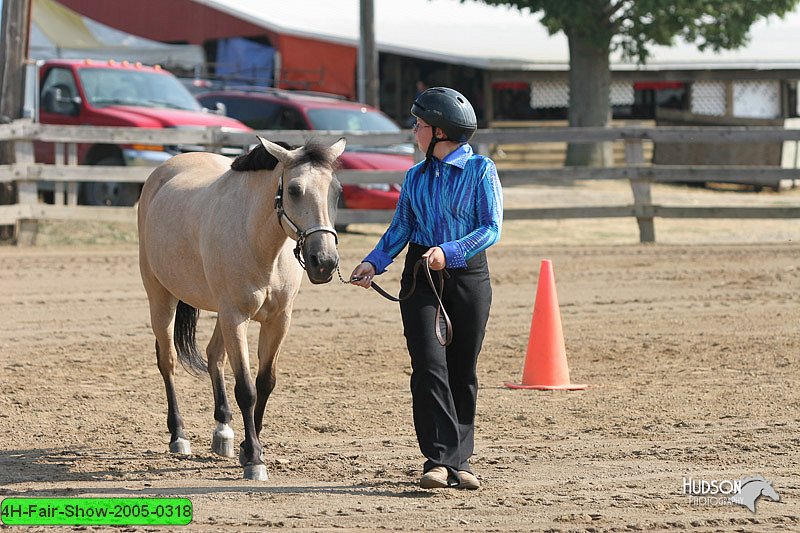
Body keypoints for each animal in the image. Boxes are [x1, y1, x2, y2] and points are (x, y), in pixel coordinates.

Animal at [137, 135, 346, 480]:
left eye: (337, 191)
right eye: (294, 190)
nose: (324, 262)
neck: (260, 243)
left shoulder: (278, 320)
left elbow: (265, 382)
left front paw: (250, 446)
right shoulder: (236, 317)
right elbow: (246, 389)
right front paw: (255, 461)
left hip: (220, 314)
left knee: (213, 356)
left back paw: (223, 431)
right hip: (162, 298)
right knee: (167, 362)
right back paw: (179, 435)